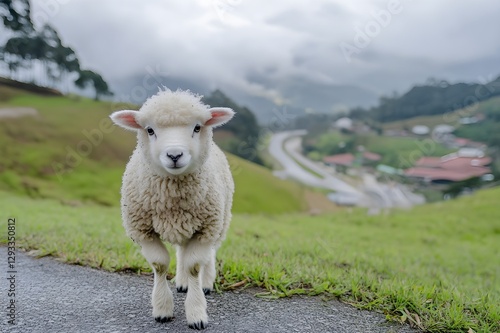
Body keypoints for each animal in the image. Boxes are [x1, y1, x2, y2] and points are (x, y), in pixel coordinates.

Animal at [109, 89, 234, 330]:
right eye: (149, 130)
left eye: (197, 127)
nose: (174, 155)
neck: (173, 200)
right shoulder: (143, 230)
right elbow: (160, 264)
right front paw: (162, 309)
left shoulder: (205, 228)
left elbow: (194, 265)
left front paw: (196, 313)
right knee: (182, 251)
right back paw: (182, 283)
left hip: (219, 221)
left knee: (208, 254)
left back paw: (205, 283)